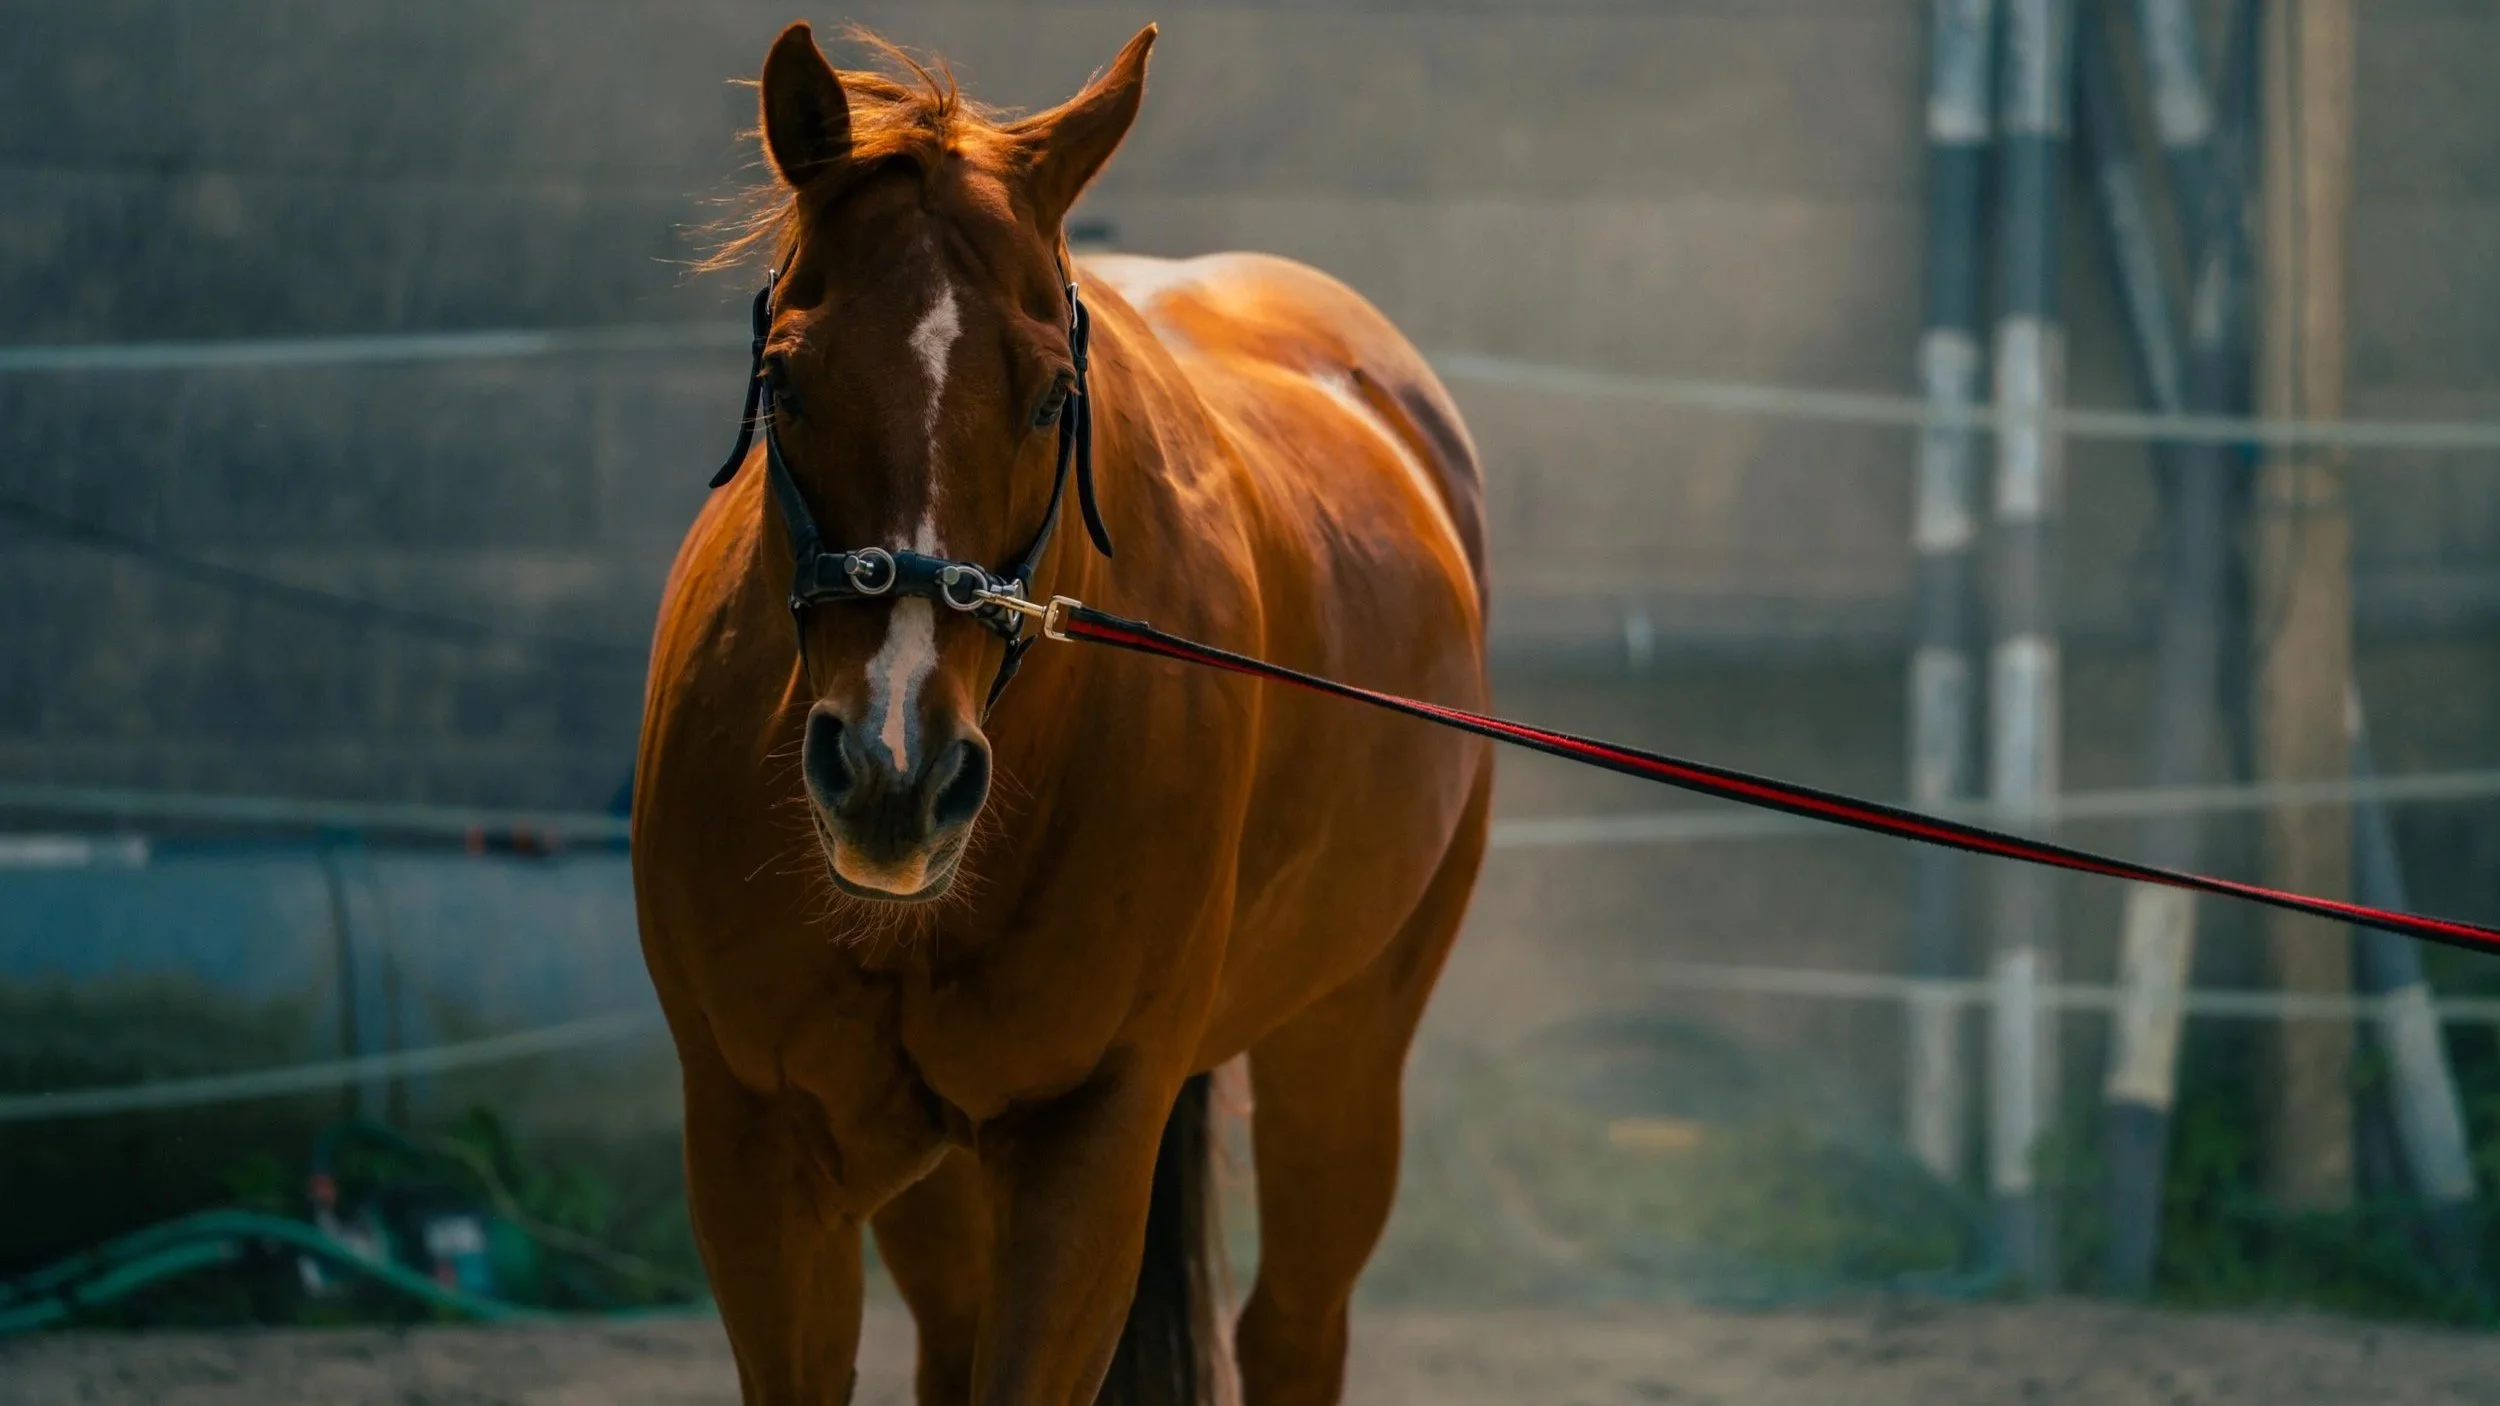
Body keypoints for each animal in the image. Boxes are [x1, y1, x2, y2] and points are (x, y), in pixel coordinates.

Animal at [632, 22, 1491, 1405]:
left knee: (1293, 1325)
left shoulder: (1086, 1135)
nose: (895, 774)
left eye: (1047, 396)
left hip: (1346, 1042)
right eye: (785, 378)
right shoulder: (756, 1145)